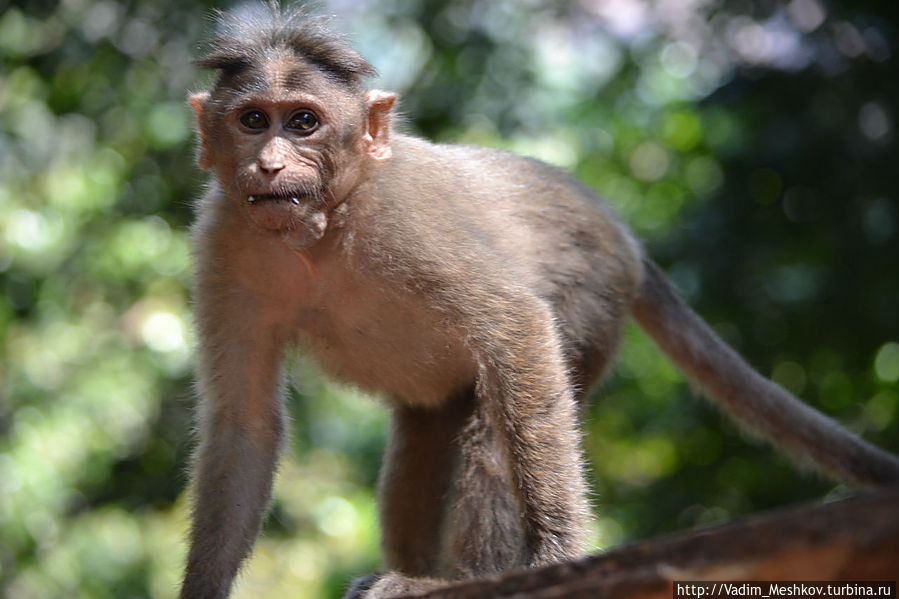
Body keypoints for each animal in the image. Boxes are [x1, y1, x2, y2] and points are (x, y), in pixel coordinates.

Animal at [181, 4, 899, 599]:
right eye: (254, 121)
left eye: (304, 122)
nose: (272, 165)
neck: (320, 230)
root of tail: (620, 232)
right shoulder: (223, 242)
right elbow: (244, 424)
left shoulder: (403, 218)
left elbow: (517, 327)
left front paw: (557, 555)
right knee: (429, 427)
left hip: (591, 295)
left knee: (502, 407)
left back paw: (463, 578)